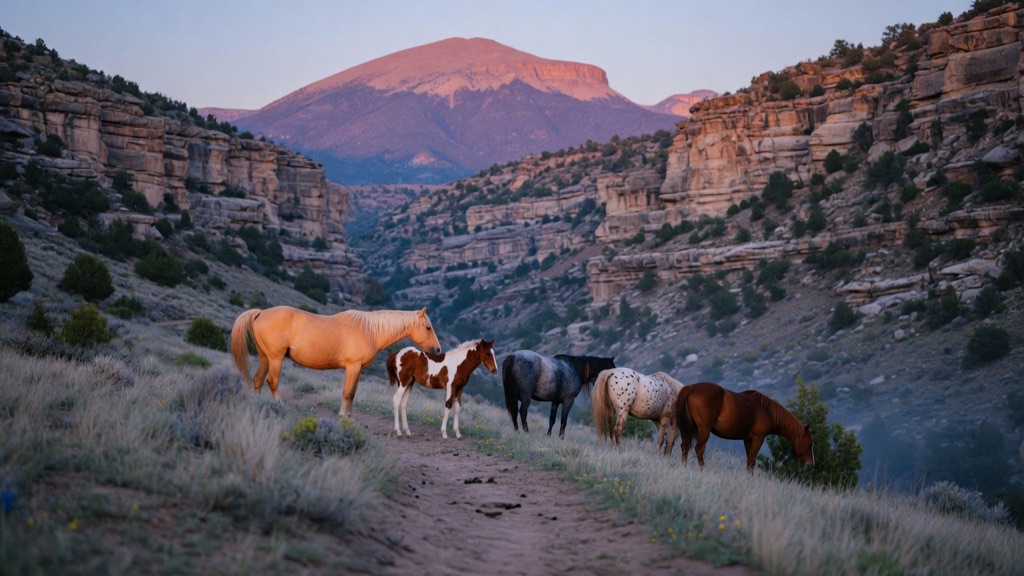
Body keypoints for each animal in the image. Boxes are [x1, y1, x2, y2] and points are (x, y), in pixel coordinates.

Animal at [230, 306, 441, 417]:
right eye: (428, 327)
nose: (437, 350)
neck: (369, 330)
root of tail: (261, 312)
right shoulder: (352, 366)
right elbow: (347, 392)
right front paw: (342, 416)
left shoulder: (358, 369)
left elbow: (353, 393)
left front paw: (349, 416)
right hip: (275, 358)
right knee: (272, 381)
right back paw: (279, 406)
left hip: (265, 358)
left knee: (257, 380)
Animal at [675, 381, 814, 473]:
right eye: (810, 444)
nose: (811, 465)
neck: (767, 411)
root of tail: (692, 387)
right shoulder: (758, 439)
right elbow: (752, 461)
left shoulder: (747, 439)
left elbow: (749, 461)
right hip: (703, 430)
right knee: (699, 449)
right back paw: (702, 470)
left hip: (687, 429)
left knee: (685, 447)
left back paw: (684, 467)